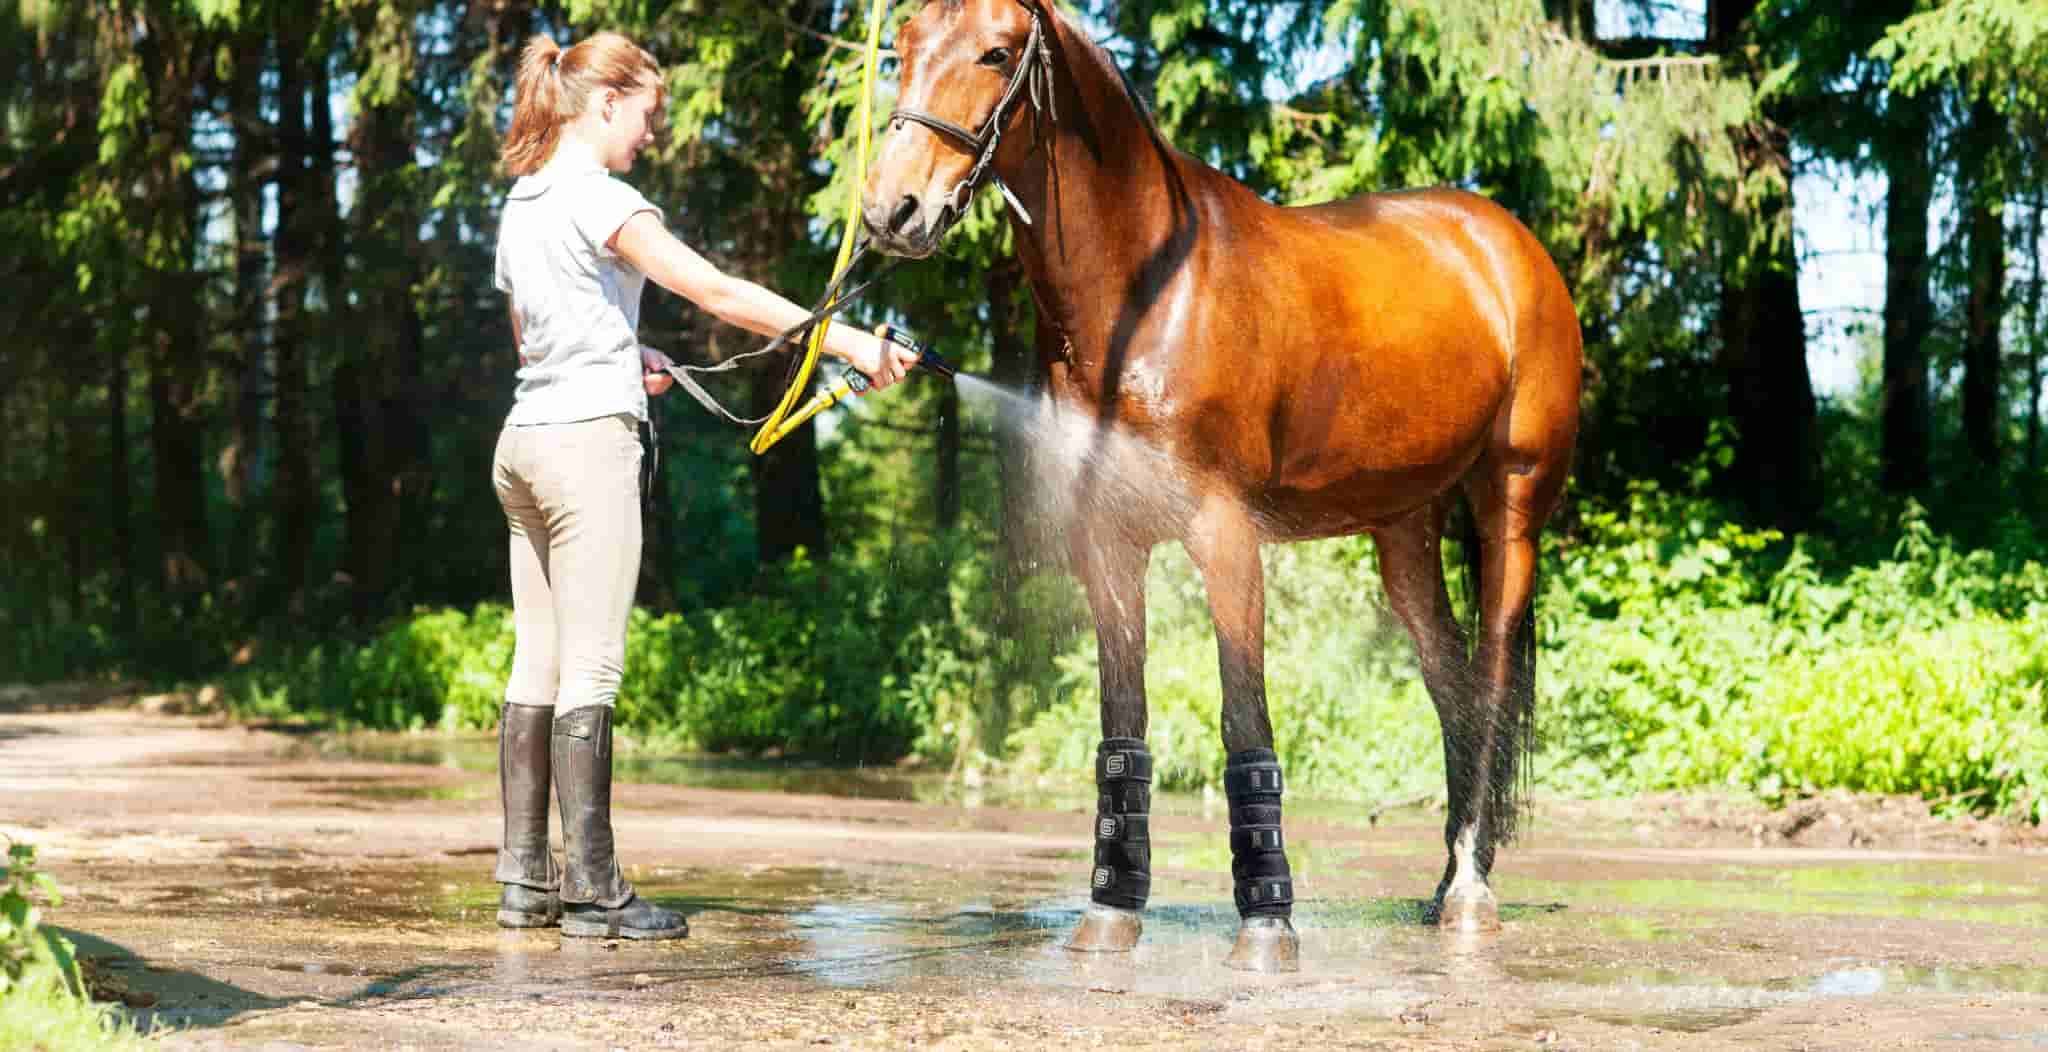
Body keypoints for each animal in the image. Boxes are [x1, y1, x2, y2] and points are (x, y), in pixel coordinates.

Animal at [862, 0, 1581, 973]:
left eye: (997, 52)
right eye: (901, 46)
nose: (891, 208)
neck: (1145, 297)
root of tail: (1505, 243)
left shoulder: (1225, 534)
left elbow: (1245, 721)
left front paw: (1268, 926)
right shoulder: (1108, 543)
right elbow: (1122, 726)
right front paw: (1110, 914)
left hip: (1511, 509)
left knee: (1495, 679)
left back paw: (1469, 890)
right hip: (1403, 530)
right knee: (1453, 685)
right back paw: (1443, 886)